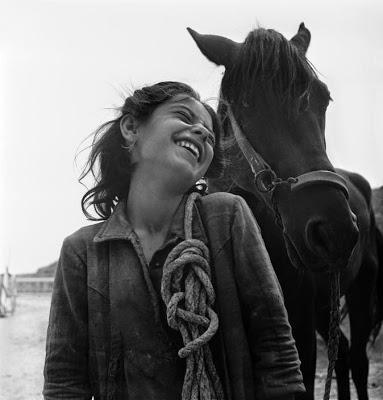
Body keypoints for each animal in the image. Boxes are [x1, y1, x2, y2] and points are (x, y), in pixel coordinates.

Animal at [188, 23, 383, 398]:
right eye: (246, 103)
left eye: (324, 98)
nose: (334, 230)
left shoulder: (300, 324)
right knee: (342, 355)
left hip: (361, 291)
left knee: (358, 361)